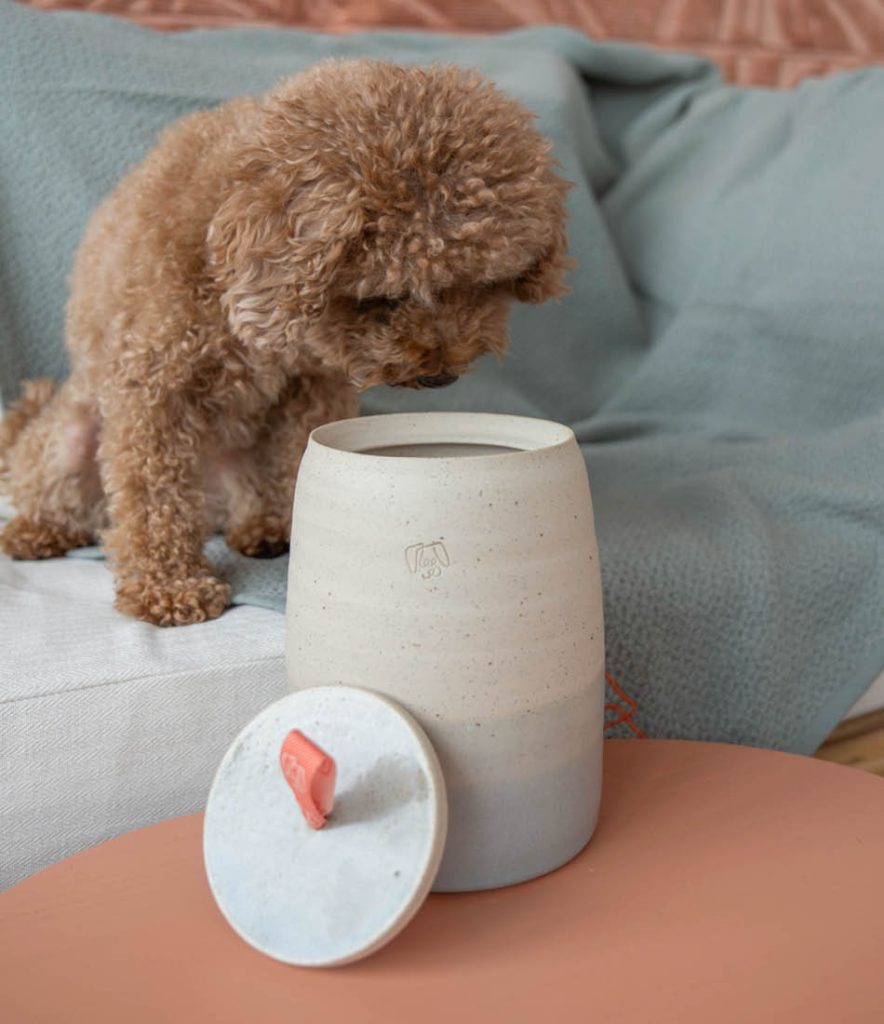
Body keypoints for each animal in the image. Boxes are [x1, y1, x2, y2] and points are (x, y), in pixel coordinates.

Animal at [0, 61, 569, 630]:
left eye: (482, 283)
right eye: (384, 296)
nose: (441, 374)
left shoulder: (314, 384)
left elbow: (294, 455)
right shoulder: (156, 387)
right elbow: (152, 494)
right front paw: (170, 587)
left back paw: (265, 528)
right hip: (71, 438)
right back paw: (36, 531)